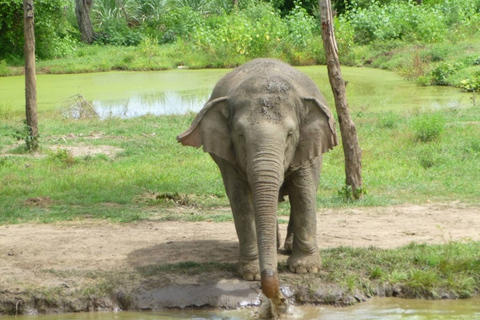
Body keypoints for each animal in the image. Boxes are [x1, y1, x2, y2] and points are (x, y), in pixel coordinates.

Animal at [177, 57, 338, 312]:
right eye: (241, 135)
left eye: (290, 134)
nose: (280, 300)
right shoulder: (228, 157)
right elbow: (240, 199)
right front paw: (250, 274)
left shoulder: (307, 145)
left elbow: (303, 192)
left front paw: (305, 269)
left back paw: (286, 248)